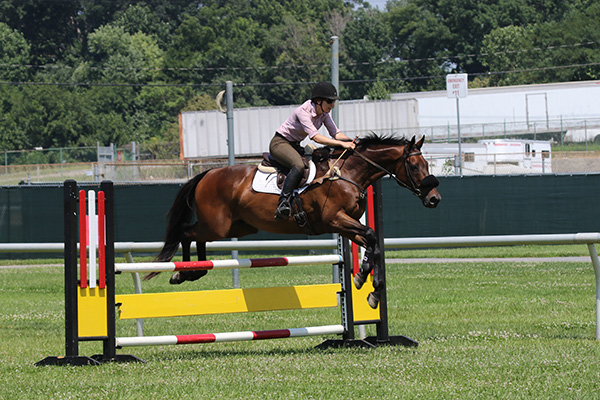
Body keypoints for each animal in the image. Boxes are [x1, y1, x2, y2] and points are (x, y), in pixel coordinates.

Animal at [146, 134, 440, 310]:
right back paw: (182, 272)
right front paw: (366, 282)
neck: (347, 173)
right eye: (415, 166)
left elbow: (372, 241)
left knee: (198, 237)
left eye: (426, 164)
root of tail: (207, 174)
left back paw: (194, 271)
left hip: (236, 226)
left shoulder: (343, 224)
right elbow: (369, 235)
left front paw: (365, 283)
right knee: (187, 232)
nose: (434, 199)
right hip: (217, 224)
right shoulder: (336, 220)